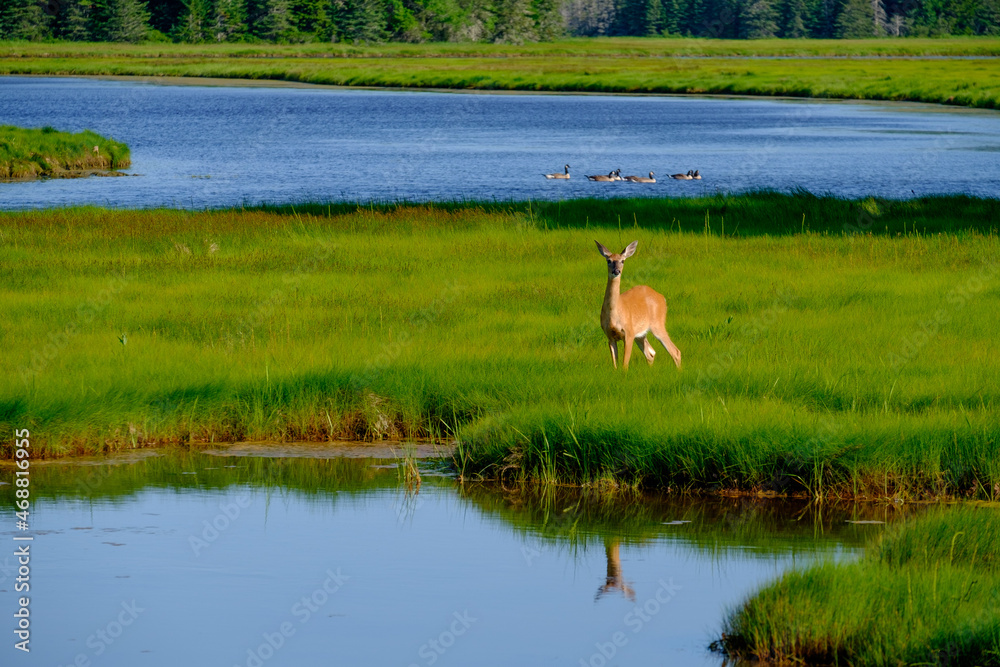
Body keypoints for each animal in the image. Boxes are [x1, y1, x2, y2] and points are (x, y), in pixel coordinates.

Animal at [596, 240, 681, 370]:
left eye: (623, 261)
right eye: (609, 260)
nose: (616, 271)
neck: (614, 314)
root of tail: (662, 298)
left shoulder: (629, 332)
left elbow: (625, 364)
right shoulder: (609, 335)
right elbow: (615, 364)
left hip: (657, 323)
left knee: (675, 351)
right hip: (641, 334)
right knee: (651, 352)